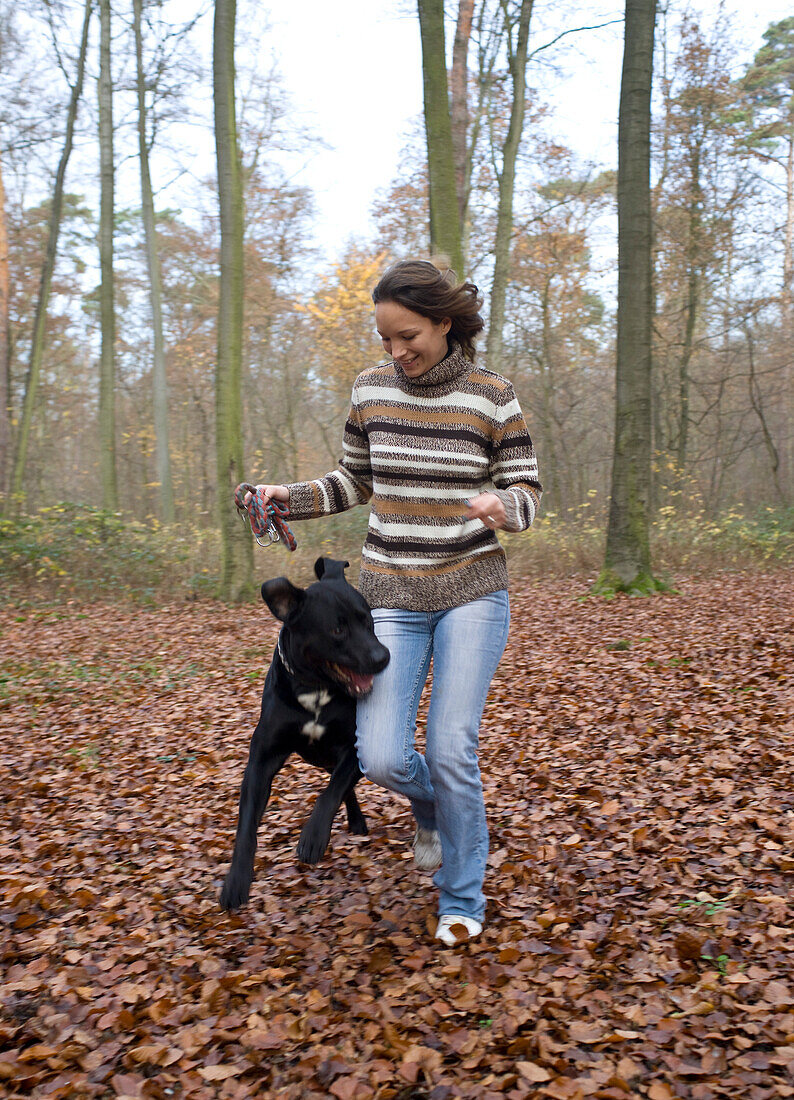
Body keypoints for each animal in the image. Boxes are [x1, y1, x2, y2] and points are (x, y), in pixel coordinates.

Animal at [217, 558, 387, 910]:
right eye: (337, 630)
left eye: (368, 621)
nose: (384, 657)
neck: (316, 688)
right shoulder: (262, 760)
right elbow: (247, 825)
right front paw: (236, 879)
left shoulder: (354, 749)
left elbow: (331, 792)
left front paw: (313, 836)